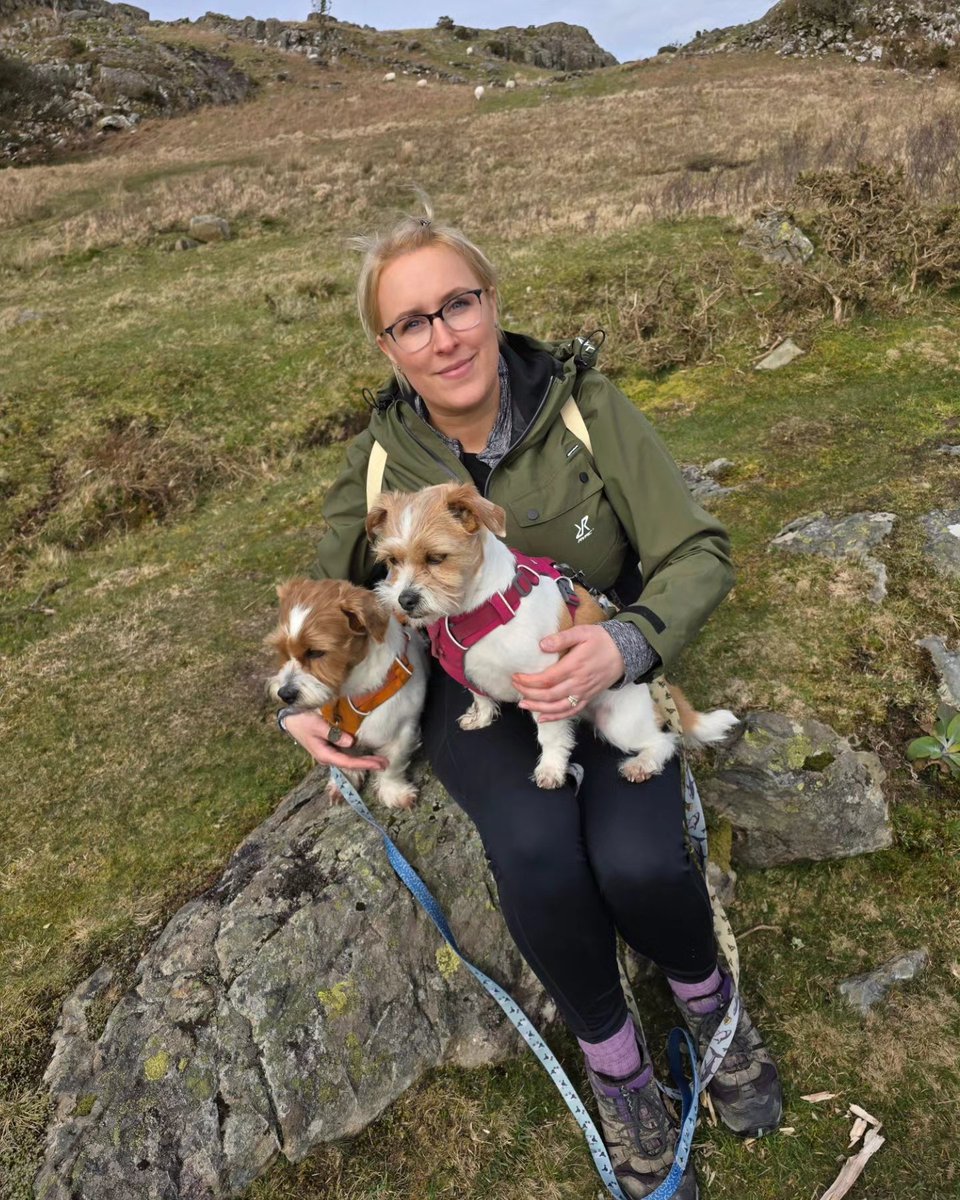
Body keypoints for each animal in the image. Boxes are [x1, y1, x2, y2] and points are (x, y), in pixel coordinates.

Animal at [264, 578, 424, 811]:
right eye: (282, 651)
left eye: (316, 652)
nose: (285, 694)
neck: (350, 688)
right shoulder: (336, 731)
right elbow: (344, 755)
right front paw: (346, 781)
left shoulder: (401, 729)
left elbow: (392, 764)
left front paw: (393, 791)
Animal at [364, 482, 734, 792]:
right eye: (391, 560)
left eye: (436, 558)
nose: (405, 600)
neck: (480, 609)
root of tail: (659, 688)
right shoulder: (470, 674)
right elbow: (481, 696)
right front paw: (482, 716)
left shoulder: (543, 686)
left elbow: (551, 736)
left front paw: (552, 769)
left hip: (619, 721)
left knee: (664, 742)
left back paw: (642, 764)